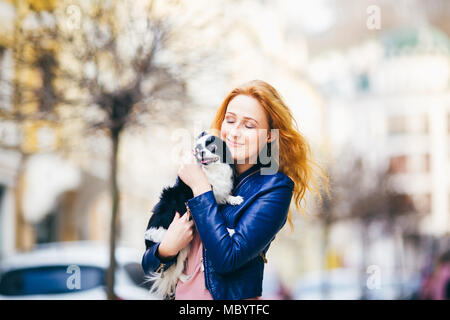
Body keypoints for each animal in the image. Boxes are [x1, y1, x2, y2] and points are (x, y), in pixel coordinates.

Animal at [143, 131, 243, 300]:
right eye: (197, 149)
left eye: (211, 146)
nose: (200, 152)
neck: (212, 171)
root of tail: (148, 241)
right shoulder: (195, 205)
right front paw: (230, 230)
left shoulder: (215, 195)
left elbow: (223, 198)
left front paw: (234, 199)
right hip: (178, 249)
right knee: (173, 272)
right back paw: (184, 278)